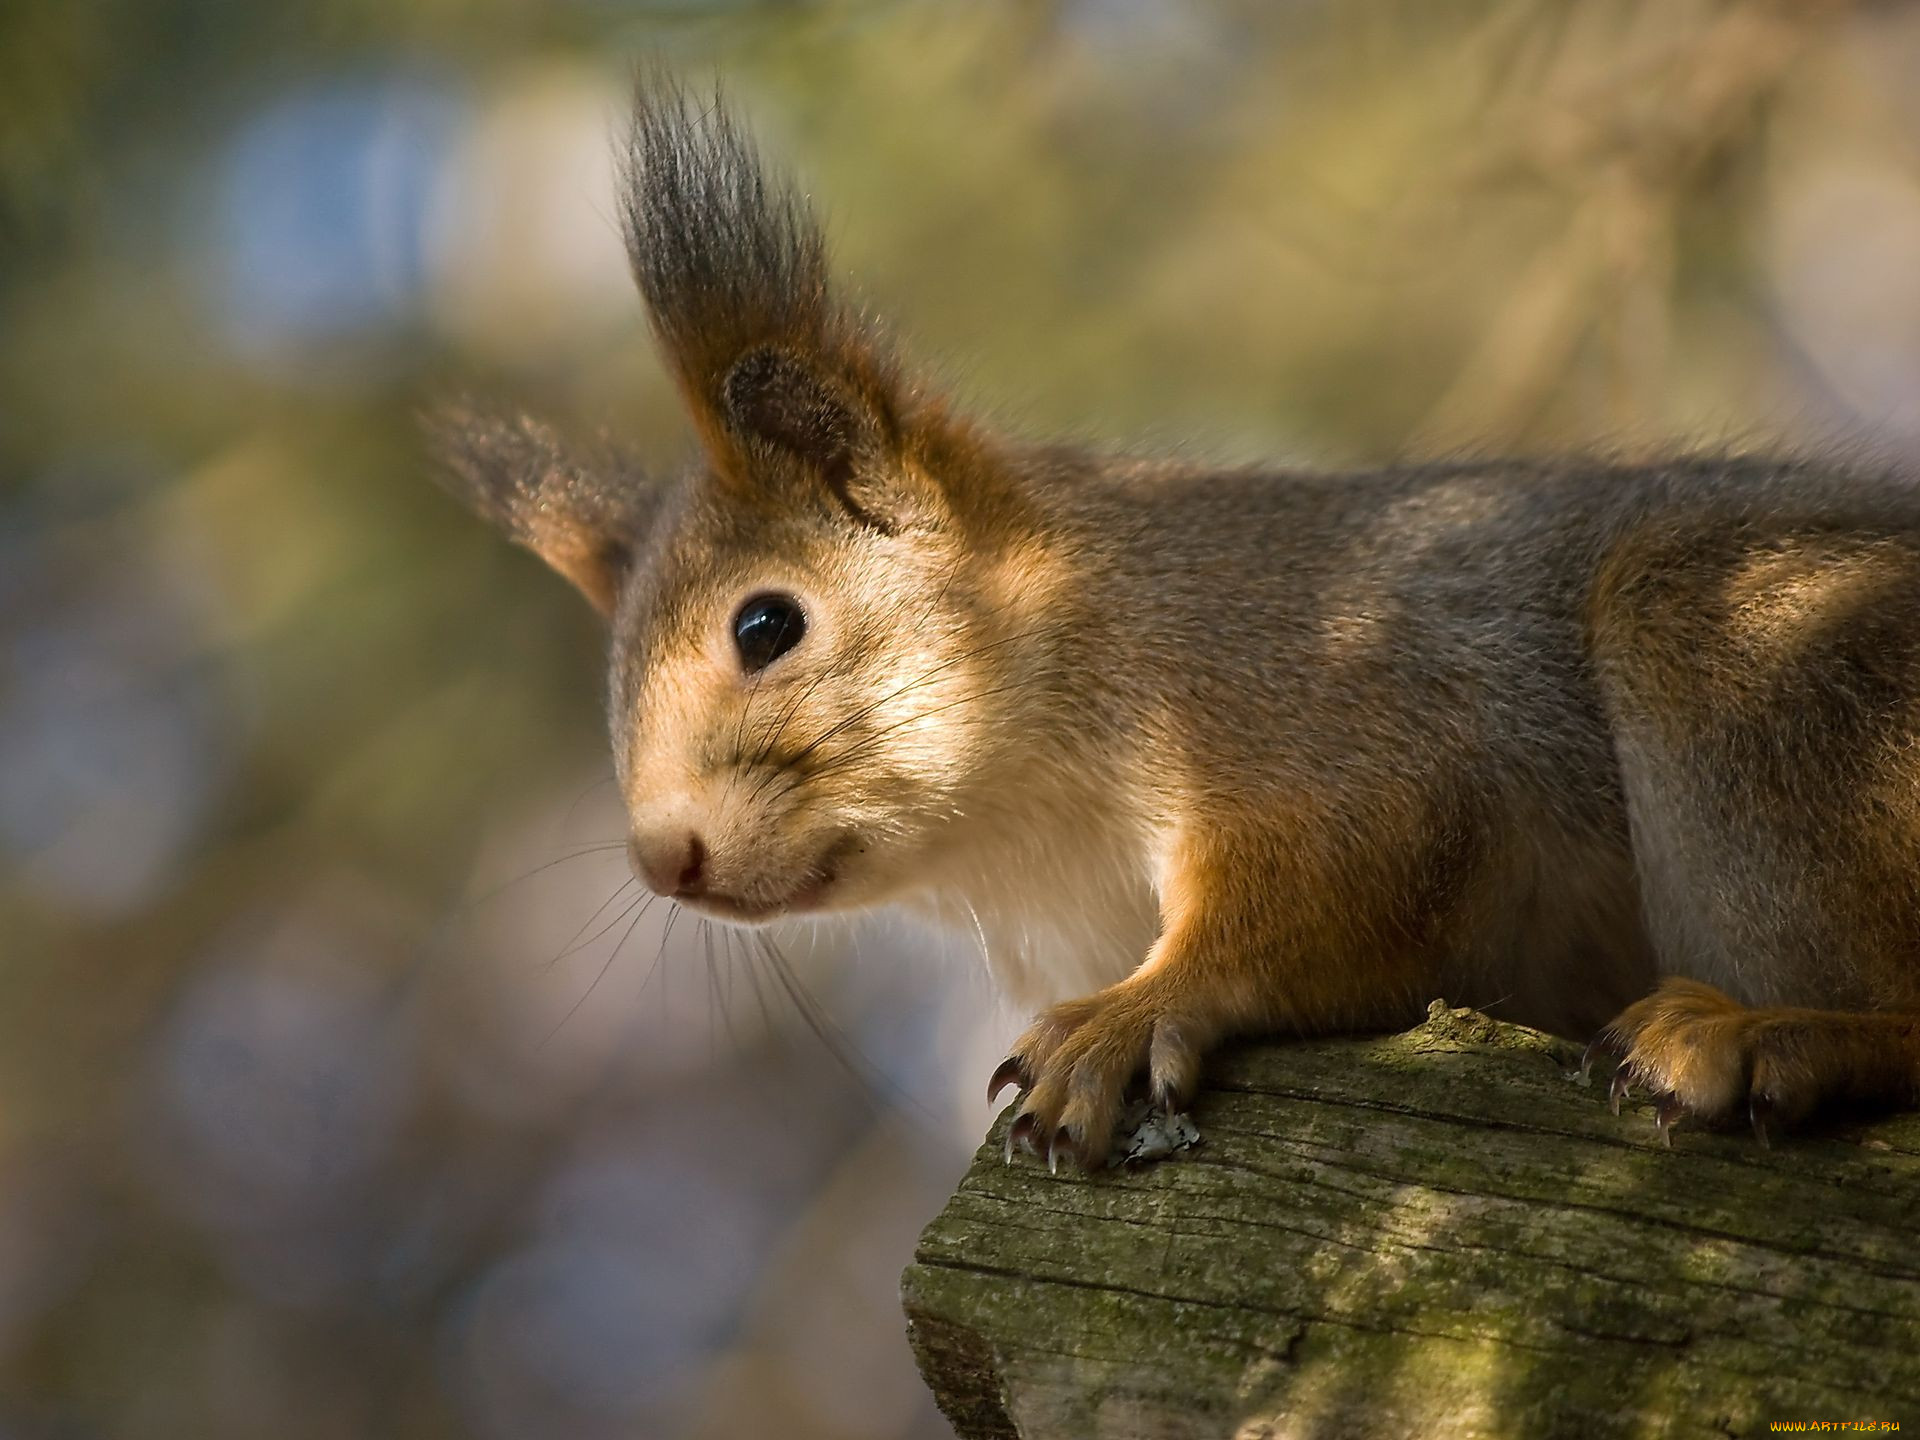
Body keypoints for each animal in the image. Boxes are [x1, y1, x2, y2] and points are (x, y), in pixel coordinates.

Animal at [435, 81, 1920, 1175]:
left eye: (765, 625)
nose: (663, 859)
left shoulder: (1319, 697)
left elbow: (1347, 877)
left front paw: (1129, 1015)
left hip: (1751, 647)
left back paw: (1767, 1036)